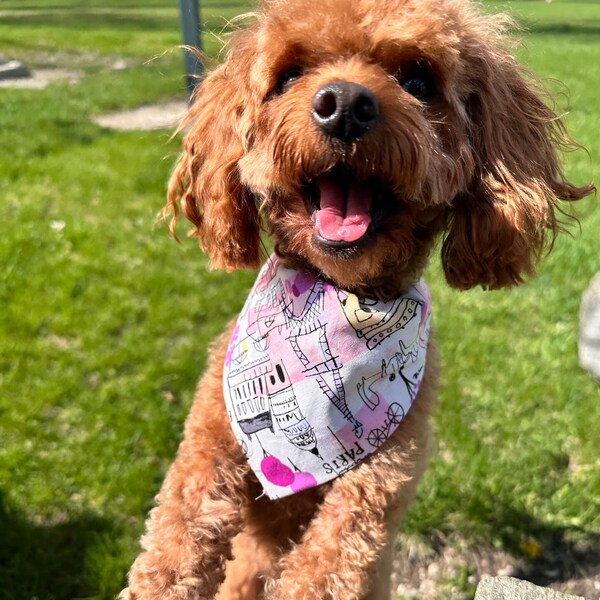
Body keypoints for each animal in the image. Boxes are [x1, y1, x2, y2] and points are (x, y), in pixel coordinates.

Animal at [119, 0, 592, 596]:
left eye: (417, 80)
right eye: (288, 76)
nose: (344, 105)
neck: (340, 298)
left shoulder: (379, 481)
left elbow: (326, 561)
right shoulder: (208, 444)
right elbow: (176, 537)